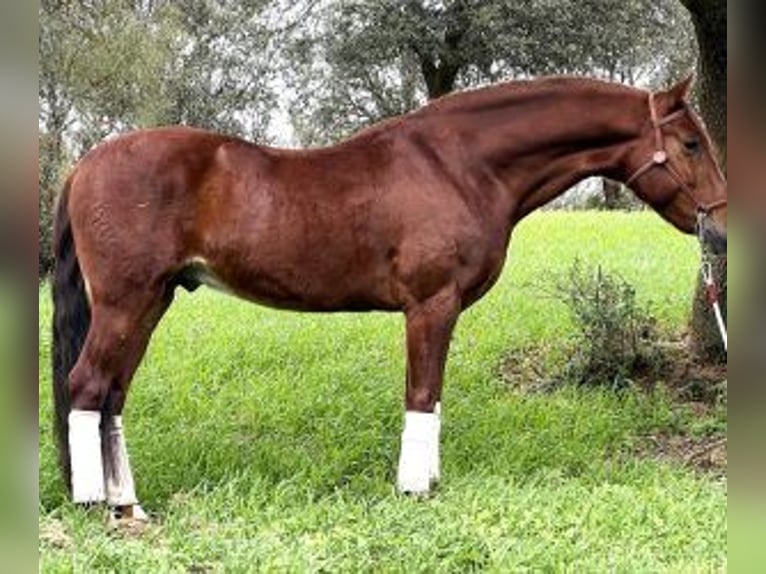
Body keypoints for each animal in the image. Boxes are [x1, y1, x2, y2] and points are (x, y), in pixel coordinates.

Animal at [51, 75, 726, 520]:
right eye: (692, 142)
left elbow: (432, 398)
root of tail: (84, 164)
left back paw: (128, 505)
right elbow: (422, 396)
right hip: (126, 302)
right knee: (87, 387)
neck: (460, 165)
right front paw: (415, 489)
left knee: (112, 397)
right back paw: (94, 506)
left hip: (152, 302)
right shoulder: (432, 305)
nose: (720, 227)